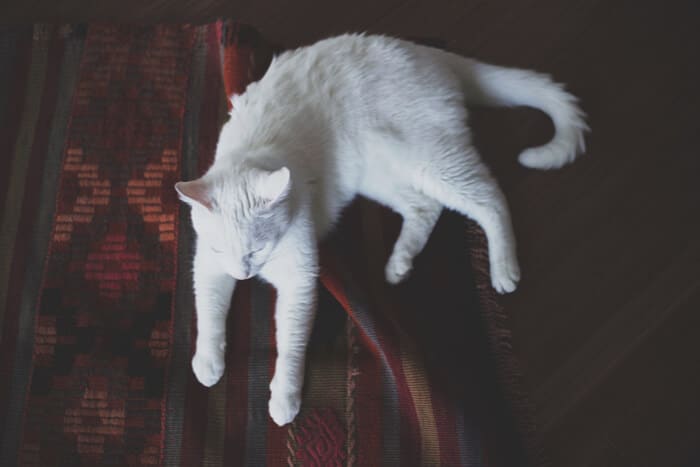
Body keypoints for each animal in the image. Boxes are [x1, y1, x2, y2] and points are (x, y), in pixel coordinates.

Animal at [174, 33, 584, 428]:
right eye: (220, 249)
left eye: (256, 250)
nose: (244, 273)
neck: (254, 151)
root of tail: (425, 52)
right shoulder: (207, 267)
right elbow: (208, 310)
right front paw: (208, 362)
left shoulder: (298, 280)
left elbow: (290, 345)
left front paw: (284, 399)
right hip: (380, 173)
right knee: (425, 207)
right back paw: (399, 264)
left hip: (431, 162)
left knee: (490, 197)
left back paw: (503, 269)